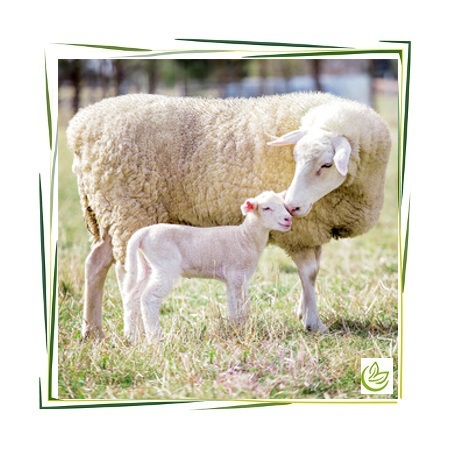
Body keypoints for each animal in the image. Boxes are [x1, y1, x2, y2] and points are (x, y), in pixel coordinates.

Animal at [122, 191, 292, 342]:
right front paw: (242, 329)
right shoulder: (237, 275)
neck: (245, 237)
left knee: (133, 296)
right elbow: (241, 305)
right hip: (165, 265)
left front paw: (234, 327)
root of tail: (144, 232)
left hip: (147, 266)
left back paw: (131, 337)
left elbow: (234, 304)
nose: (288, 219)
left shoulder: (233, 279)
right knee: (149, 298)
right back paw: (155, 338)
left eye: (284, 205)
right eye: (266, 208)